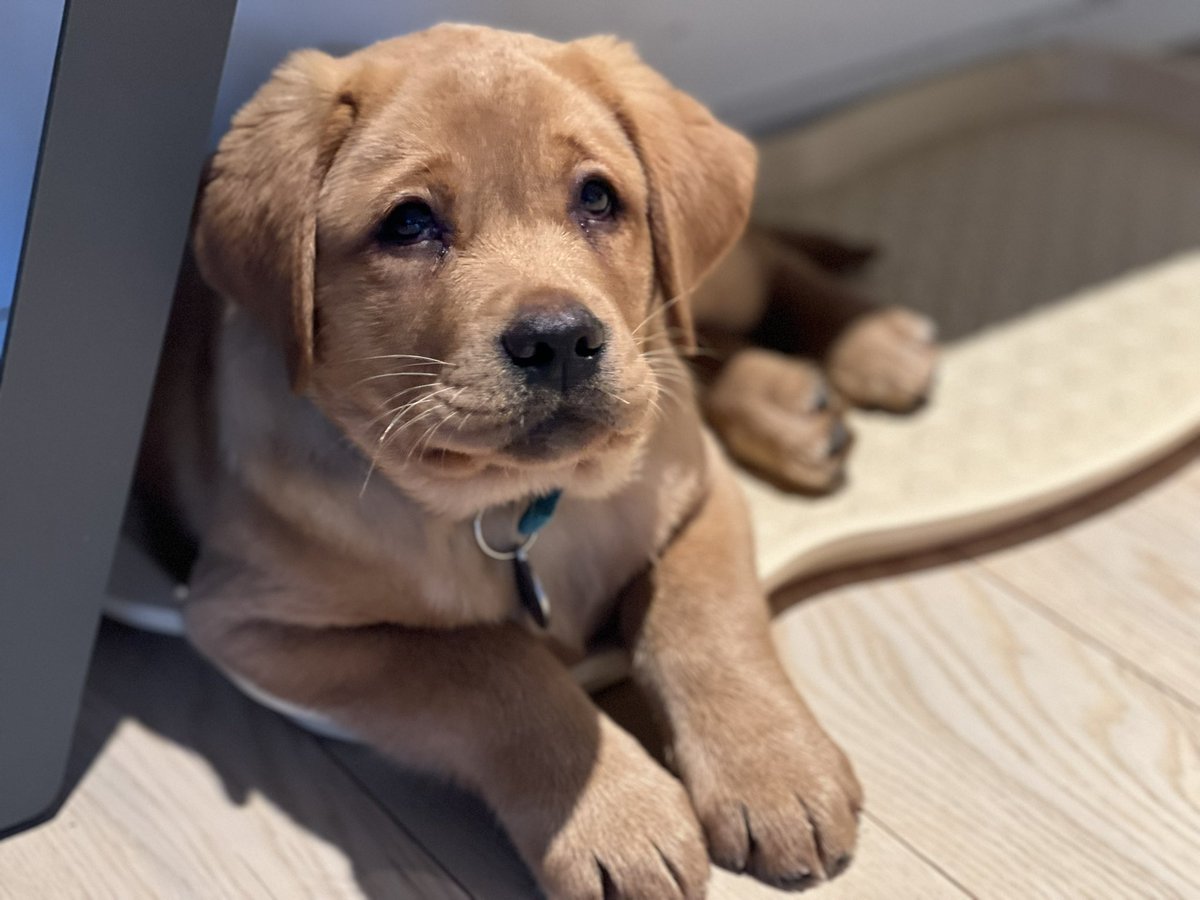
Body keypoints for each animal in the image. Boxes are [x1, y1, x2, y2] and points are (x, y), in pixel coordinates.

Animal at [145, 22, 883, 900]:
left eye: (597, 198)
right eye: (408, 223)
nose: (560, 339)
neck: (522, 506)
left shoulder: (702, 498)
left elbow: (706, 620)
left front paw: (774, 772)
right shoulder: (250, 622)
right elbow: (492, 664)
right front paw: (619, 821)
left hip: (709, 284)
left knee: (754, 271)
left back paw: (875, 343)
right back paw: (795, 401)